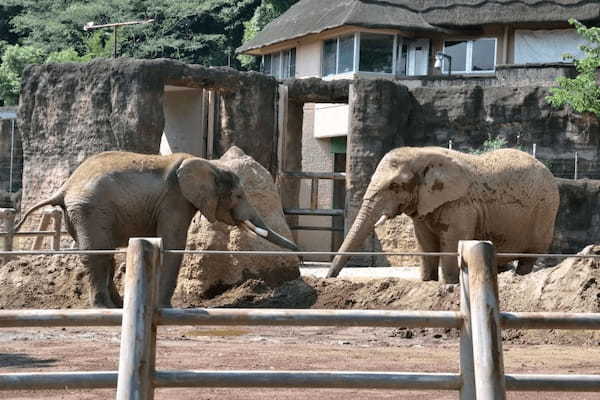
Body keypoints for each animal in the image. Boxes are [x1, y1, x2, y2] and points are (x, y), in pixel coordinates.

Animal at [17, 152, 298, 308]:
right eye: (238, 196)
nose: (299, 251)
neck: (208, 162)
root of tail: (65, 186)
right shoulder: (174, 199)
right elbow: (173, 243)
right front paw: (165, 307)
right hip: (90, 209)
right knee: (97, 252)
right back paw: (103, 307)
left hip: (79, 213)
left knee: (105, 252)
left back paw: (118, 305)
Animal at [326, 148, 560, 284]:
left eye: (395, 186)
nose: (329, 279)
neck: (420, 153)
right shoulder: (425, 205)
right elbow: (425, 243)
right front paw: (428, 283)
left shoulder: (459, 205)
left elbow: (452, 242)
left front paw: (448, 286)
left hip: (545, 213)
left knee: (528, 258)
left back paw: (519, 279)